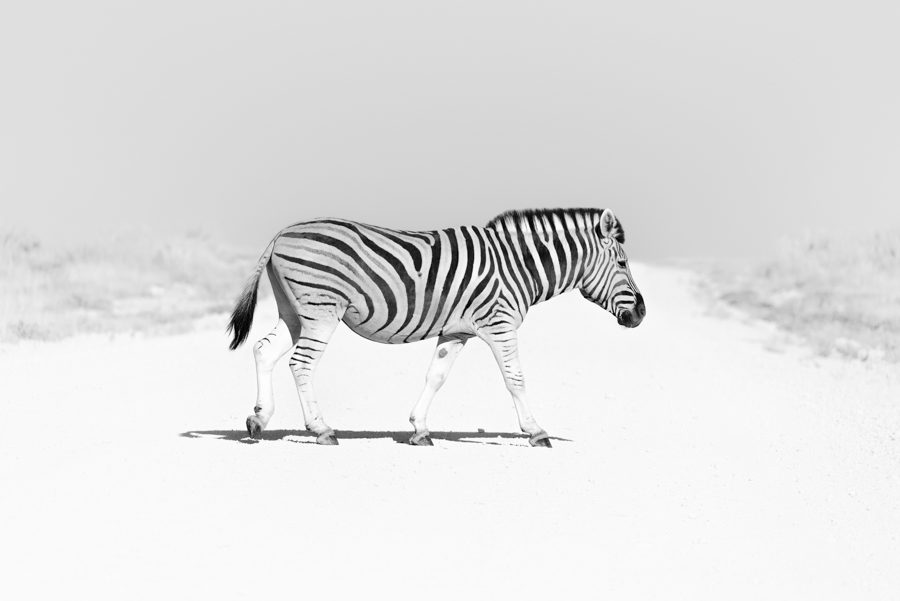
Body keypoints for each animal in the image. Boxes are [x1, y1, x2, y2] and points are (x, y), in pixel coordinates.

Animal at [227, 207, 645, 447]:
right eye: (623, 263)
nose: (641, 314)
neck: (518, 266)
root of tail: (282, 233)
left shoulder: (456, 330)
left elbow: (436, 376)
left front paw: (419, 429)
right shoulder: (500, 323)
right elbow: (515, 379)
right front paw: (536, 431)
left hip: (296, 310)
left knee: (264, 350)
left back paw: (258, 420)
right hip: (323, 308)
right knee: (301, 364)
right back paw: (321, 429)